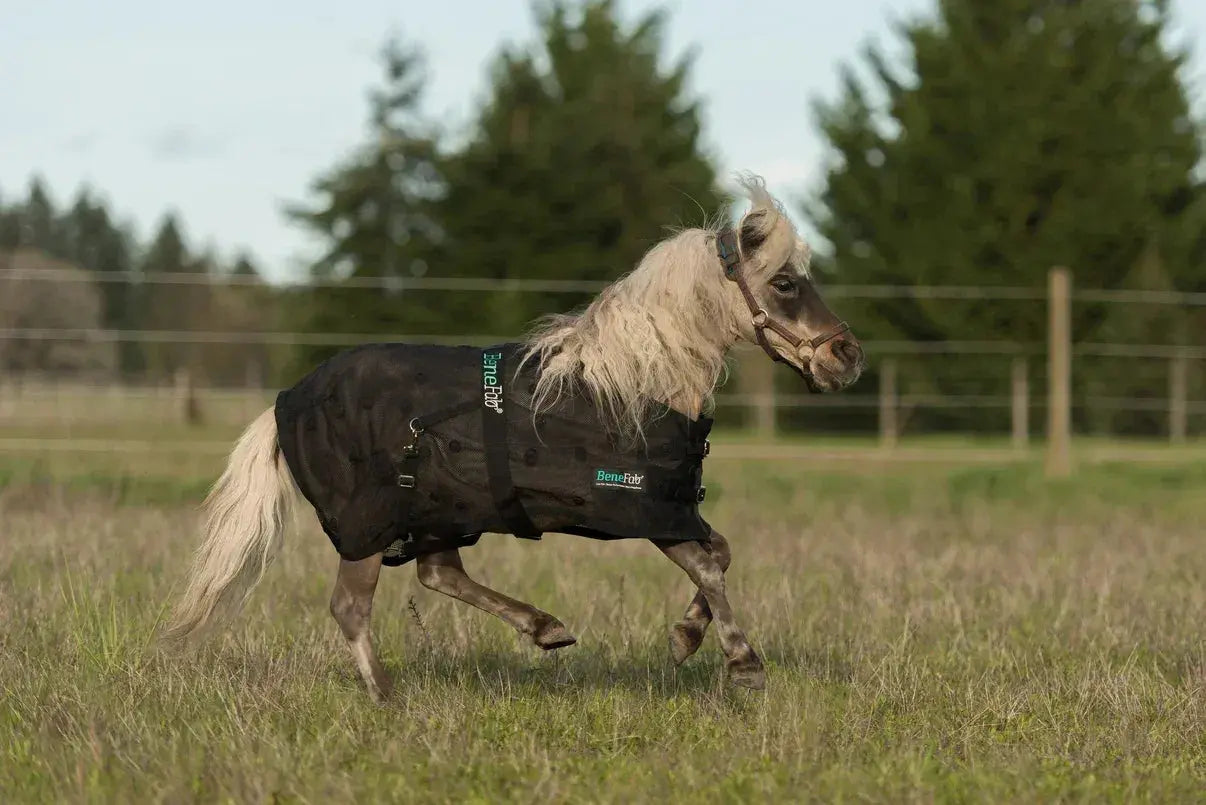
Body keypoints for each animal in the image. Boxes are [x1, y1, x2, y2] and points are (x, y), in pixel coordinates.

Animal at [160, 176, 864, 701]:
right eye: (784, 283)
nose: (846, 357)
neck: (635, 384)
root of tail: (286, 404)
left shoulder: (671, 508)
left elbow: (721, 553)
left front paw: (684, 638)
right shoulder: (641, 510)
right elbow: (711, 567)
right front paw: (743, 664)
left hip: (440, 513)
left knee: (438, 575)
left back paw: (545, 628)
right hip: (369, 525)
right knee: (351, 608)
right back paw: (388, 696)